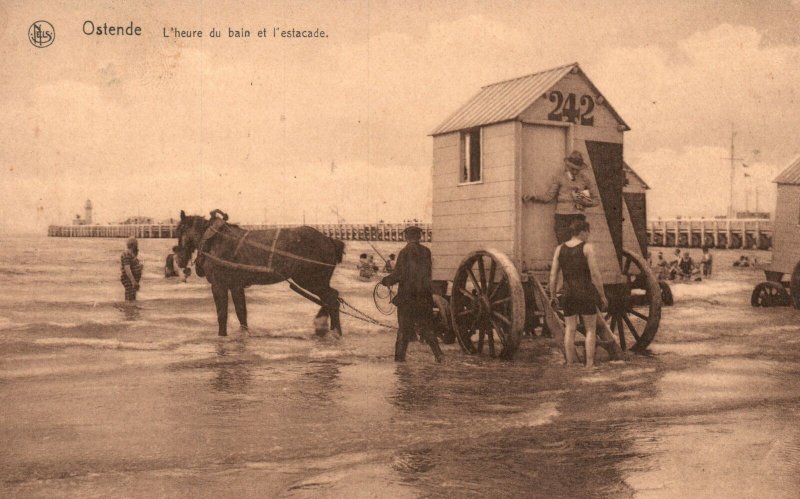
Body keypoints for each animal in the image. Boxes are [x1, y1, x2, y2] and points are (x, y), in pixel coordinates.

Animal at [175, 209, 344, 338]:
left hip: (310, 280)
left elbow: (222, 314)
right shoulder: (235, 286)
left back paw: (330, 328)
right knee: (331, 298)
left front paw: (222, 335)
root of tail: (329, 239)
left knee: (331, 299)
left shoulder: (219, 285)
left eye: (179, 231)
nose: (180, 260)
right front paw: (244, 334)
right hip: (314, 281)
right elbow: (241, 312)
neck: (214, 240)